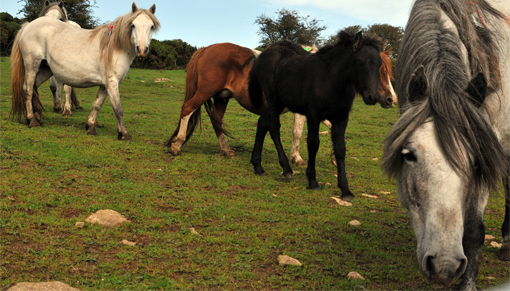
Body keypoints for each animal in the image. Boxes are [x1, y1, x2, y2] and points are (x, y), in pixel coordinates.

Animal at [10, 2, 160, 140]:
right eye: (133, 25)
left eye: (151, 26)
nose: (142, 50)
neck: (114, 47)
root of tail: (28, 25)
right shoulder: (112, 83)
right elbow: (118, 109)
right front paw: (123, 133)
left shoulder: (105, 85)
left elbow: (97, 105)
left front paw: (90, 127)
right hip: (32, 65)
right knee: (28, 90)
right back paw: (32, 120)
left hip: (46, 69)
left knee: (34, 87)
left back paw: (37, 115)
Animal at [165, 42, 396, 161]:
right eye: (377, 69)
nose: (390, 99)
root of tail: (205, 48)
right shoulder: (304, 111)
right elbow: (298, 132)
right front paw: (296, 158)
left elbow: (329, 126)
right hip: (206, 91)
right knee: (187, 109)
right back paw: (177, 144)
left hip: (221, 97)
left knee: (217, 122)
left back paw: (226, 149)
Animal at [247, 30, 382, 202]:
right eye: (360, 63)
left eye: (379, 64)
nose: (373, 97)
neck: (330, 81)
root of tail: (266, 51)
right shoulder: (313, 115)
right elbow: (313, 144)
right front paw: (312, 181)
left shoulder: (341, 119)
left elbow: (340, 149)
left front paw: (345, 190)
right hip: (272, 99)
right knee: (273, 128)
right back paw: (287, 170)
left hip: (280, 103)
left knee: (262, 123)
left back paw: (258, 166)